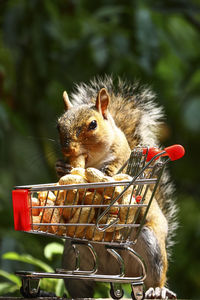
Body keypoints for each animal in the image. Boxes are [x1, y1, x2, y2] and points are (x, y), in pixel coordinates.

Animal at [55, 76, 177, 298]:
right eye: (58, 126)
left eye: (93, 124)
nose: (68, 149)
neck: (93, 159)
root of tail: (113, 272)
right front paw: (62, 167)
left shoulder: (124, 159)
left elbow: (116, 173)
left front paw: (106, 173)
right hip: (72, 256)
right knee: (79, 284)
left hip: (151, 245)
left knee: (155, 275)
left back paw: (158, 289)